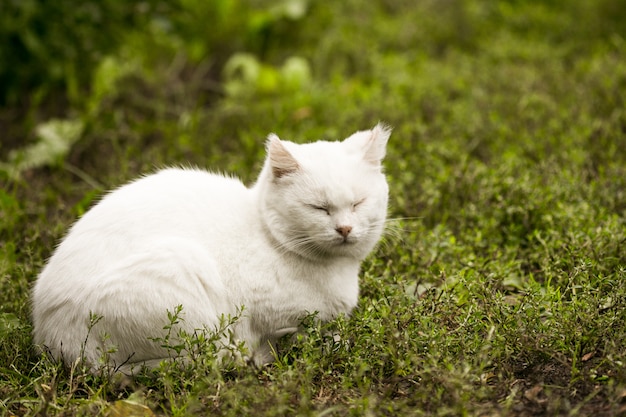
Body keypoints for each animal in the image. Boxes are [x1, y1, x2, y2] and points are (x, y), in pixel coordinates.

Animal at [31, 122, 390, 372]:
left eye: (358, 203)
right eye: (319, 208)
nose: (344, 228)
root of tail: (49, 338)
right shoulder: (264, 317)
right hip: (180, 269)